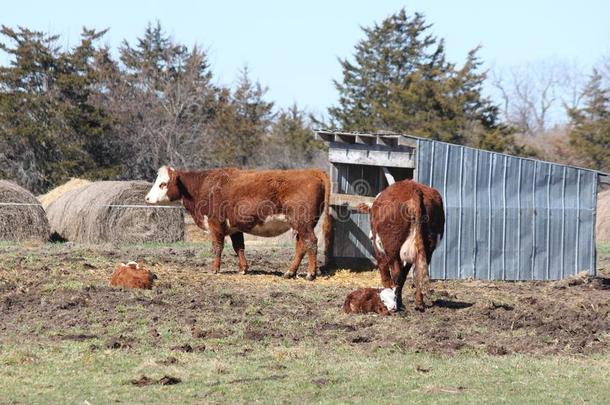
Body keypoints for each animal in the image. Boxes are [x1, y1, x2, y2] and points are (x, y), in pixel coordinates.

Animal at [144, 166, 330, 280]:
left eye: (163, 184)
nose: (147, 198)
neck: (204, 186)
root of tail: (313, 171)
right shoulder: (234, 227)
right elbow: (239, 247)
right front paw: (243, 269)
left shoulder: (215, 223)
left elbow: (217, 246)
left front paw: (215, 269)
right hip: (301, 225)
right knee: (301, 245)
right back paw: (290, 272)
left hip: (304, 224)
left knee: (311, 243)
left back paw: (310, 274)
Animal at [358, 179, 444, 310]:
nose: (370, 236)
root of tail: (414, 190)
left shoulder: (378, 250)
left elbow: (385, 273)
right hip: (428, 246)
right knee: (417, 270)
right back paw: (418, 303)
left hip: (392, 247)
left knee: (396, 273)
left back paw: (396, 304)